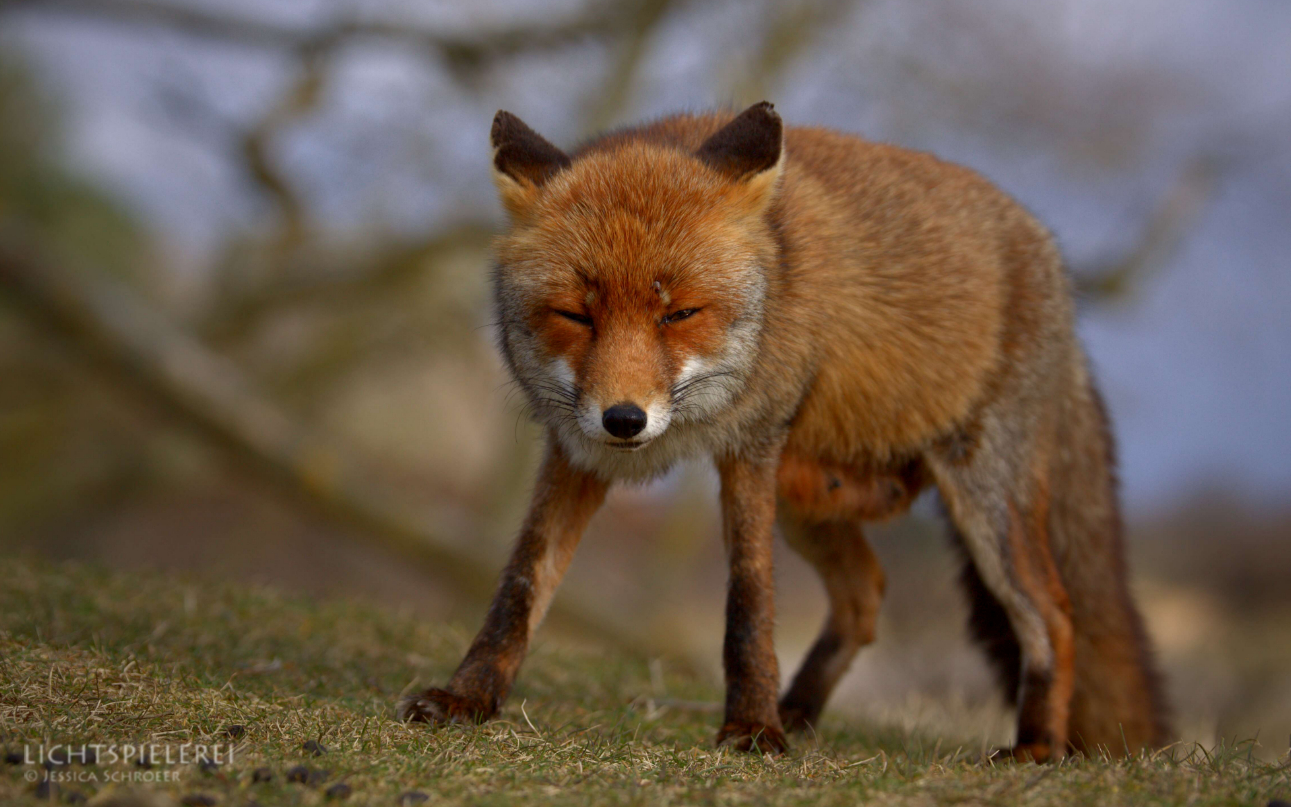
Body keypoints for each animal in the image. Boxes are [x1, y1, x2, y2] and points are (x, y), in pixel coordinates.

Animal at [400, 102, 1172, 759]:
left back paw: (1037, 746)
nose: (624, 418)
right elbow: (520, 585)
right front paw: (470, 696)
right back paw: (800, 712)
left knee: (1053, 615)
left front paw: (749, 727)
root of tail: (1050, 257)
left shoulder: (752, 449)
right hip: (812, 499)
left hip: (982, 502)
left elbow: (749, 599)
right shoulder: (576, 453)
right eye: (575, 314)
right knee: (866, 595)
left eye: (678, 314)